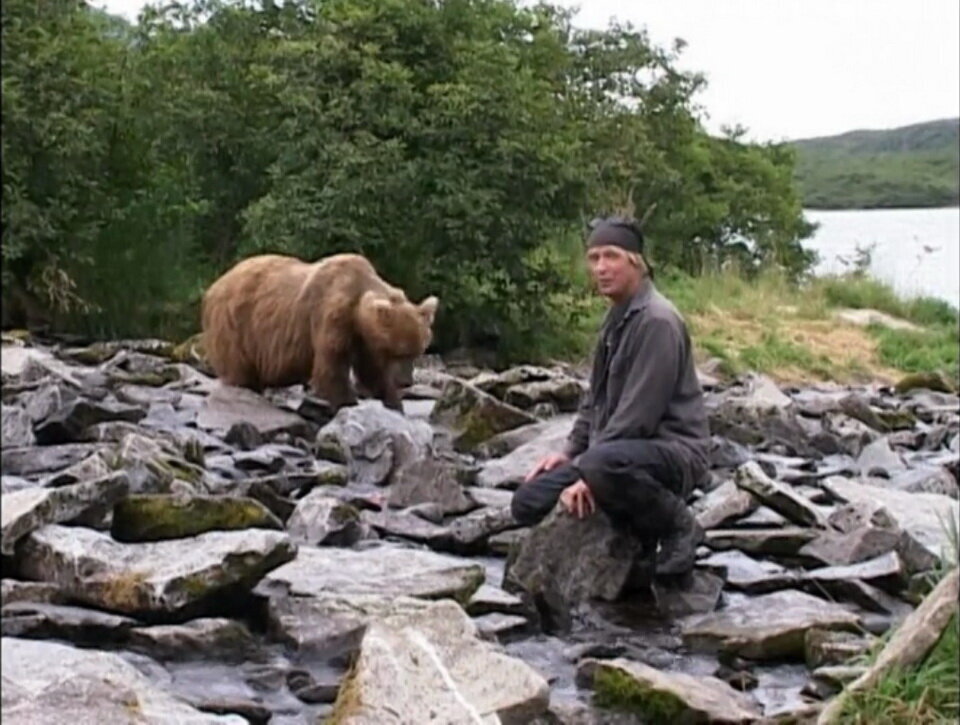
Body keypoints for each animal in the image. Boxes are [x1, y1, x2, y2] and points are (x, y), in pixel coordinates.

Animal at [204, 252, 440, 410]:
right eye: (399, 352)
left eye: (417, 351)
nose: (406, 381)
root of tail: (216, 284)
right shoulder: (331, 316)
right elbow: (331, 367)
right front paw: (348, 402)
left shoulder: (363, 339)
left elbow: (371, 372)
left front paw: (393, 402)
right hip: (237, 324)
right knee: (239, 367)